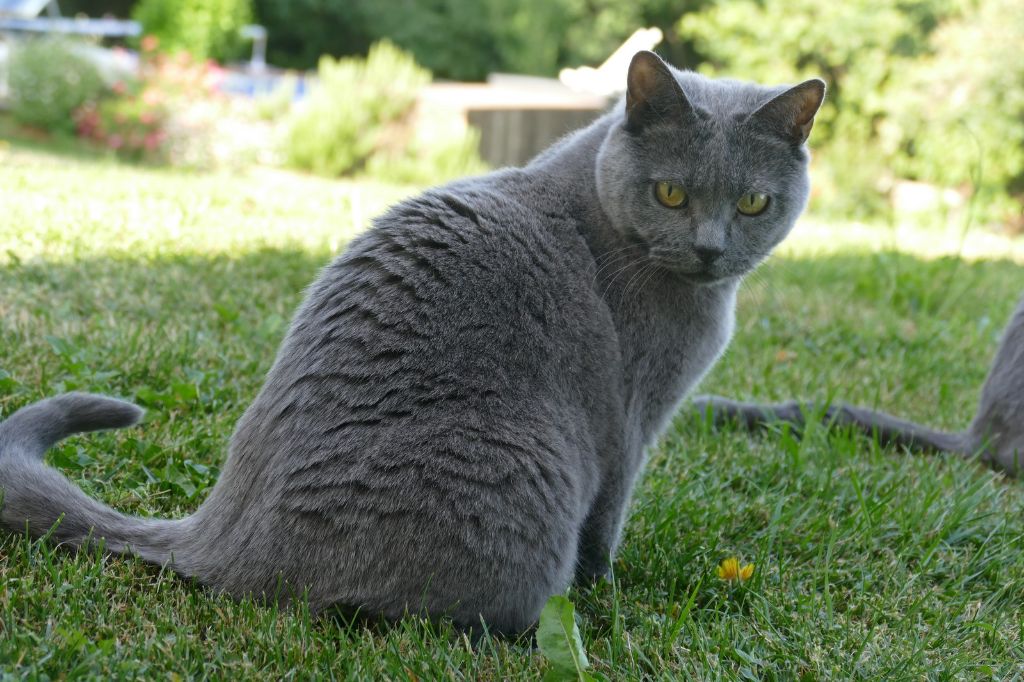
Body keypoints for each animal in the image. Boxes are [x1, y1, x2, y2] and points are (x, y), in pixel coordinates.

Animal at [0, 51, 823, 630]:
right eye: (671, 193)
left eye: (754, 203)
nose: (711, 249)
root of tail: (215, 536)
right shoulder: (629, 416)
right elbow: (609, 515)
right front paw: (607, 590)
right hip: (526, 464)